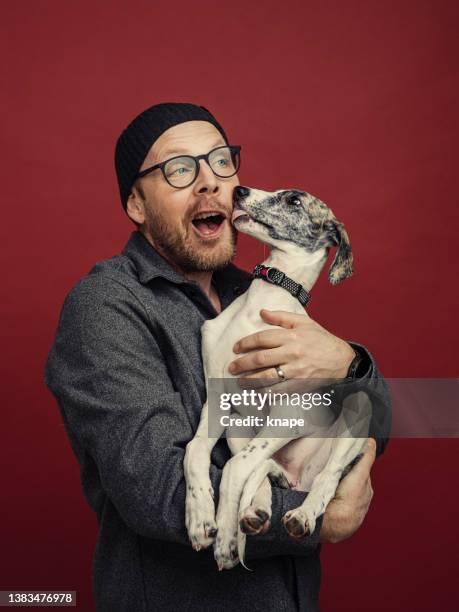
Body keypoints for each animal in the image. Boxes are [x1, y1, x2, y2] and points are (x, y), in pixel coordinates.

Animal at [184, 185, 374, 568]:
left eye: (294, 201)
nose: (238, 190)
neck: (264, 296)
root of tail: (301, 475)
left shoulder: (289, 413)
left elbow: (232, 470)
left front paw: (225, 540)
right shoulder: (219, 402)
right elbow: (195, 450)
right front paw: (199, 517)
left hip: (358, 408)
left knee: (326, 478)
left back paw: (300, 514)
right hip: (238, 426)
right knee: (261, 469)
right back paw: (256, 509)